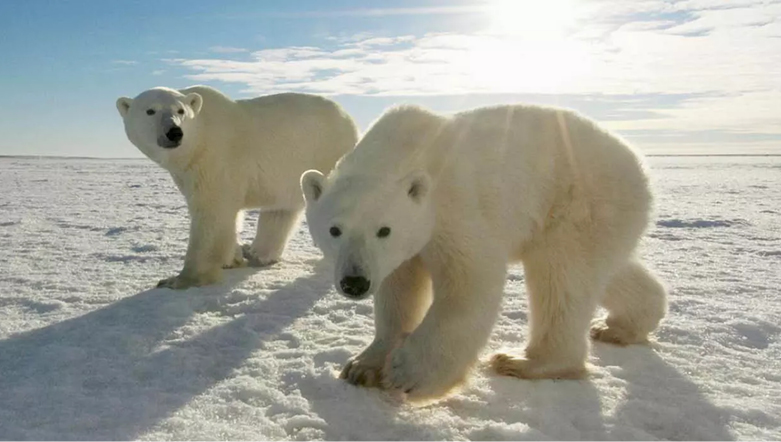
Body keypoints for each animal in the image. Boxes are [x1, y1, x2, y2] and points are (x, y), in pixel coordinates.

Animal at [116, 85, 360, 290]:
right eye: (150, 111)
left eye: (180, 110)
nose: (174, 132)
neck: (199, 138)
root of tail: (349, 118)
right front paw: (233, 258)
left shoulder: (214, 159)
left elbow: (212, 214)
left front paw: (181, 279)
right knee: (280, 210)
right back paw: (257, 253)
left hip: (328, 152)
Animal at [302, 103, 668, 400]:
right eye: (335, 230)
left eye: (384, 229)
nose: (355, 282)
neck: (402, 151)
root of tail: (638, 164)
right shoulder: (396, 253)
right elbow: (398, 290)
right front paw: (362, 366)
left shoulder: (453, 207)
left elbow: (469, 279)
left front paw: (409, 372)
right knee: (605, 270)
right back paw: (620, 326)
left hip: (578, 199)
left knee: (562, 275)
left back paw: (527, 361)